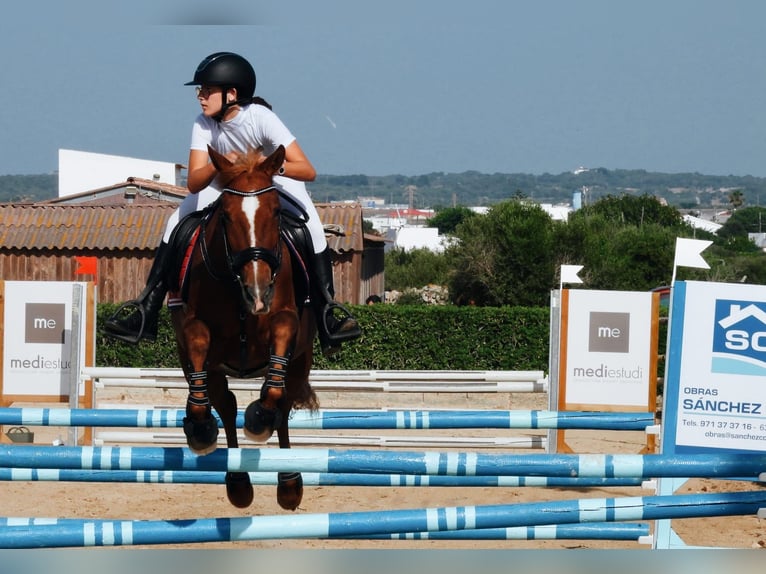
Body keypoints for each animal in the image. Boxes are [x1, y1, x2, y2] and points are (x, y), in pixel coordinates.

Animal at [168, 144, 318, 510]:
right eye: (225, 216)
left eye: (276, 213)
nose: (258, 292)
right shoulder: (195, 331)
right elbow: (198, 346)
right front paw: (200, 428)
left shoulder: (286, 321)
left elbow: (274, 386)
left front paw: (258, 419)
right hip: (210, 369)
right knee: (223, 402)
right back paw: (236, 481)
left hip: (300, 362)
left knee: (283, 404)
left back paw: (289, 484)